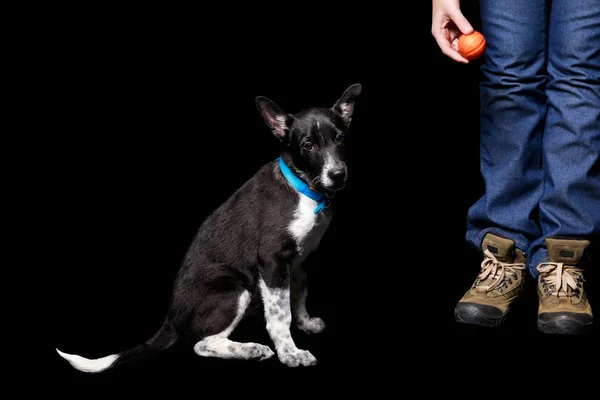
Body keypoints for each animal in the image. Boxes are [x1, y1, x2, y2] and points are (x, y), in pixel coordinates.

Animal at [56, 83, 360, 370]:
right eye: (308, 146)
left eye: (340, 138)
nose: (337, 175)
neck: (306, 189)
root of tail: (171, 320)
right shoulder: (273, 259)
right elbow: (280, 314)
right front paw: (291, 353)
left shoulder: (299, 259)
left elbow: (299, 293)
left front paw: (305, 323)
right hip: (234, 289)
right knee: (203, 344)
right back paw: (249, 349)